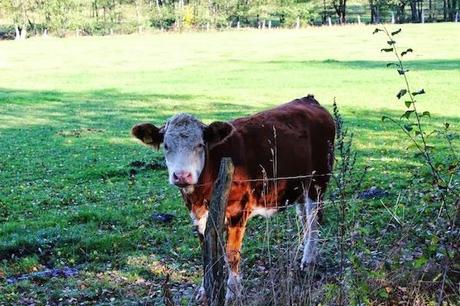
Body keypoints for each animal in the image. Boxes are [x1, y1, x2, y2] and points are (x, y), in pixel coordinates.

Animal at [131, 95, 336, 302]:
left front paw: (232, 292)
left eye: (200, 145)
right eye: (166, 146)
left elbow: (231, 255)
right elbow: (207, 254)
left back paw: (309, 260)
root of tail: (308, 99)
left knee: (314, 220)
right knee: (304, 219)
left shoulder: (238, 211)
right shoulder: (199, 217)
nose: (182, 176)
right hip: (299, 185)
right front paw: (205, 291)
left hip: (318, 182)